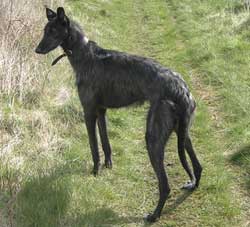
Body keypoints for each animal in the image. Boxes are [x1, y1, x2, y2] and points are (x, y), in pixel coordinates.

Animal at [35, 6, 203, 222]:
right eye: (45, 30)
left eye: (53, 31)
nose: (37, 50)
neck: (84, 54)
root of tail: (182, 88)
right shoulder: (101, 111)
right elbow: (105, 142)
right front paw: (108, 165)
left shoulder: (88, 112)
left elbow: (94, 147)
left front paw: (95, 171)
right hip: (182, 131)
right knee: (197, 166)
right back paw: (192, 185)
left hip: (153, 137)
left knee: (165, 185)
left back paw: (154, 215)